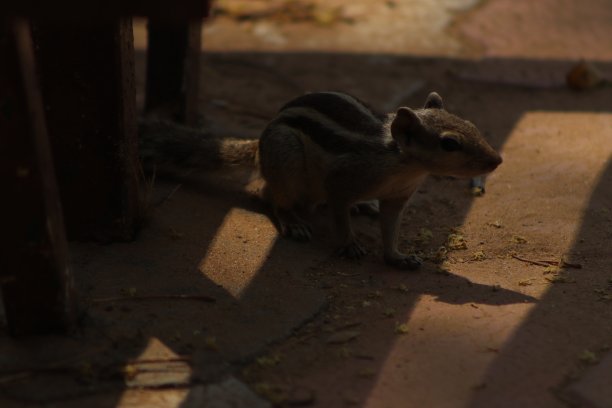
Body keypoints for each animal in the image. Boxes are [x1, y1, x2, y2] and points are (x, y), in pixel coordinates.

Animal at [139, 92, 502, 270]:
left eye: (471, 124)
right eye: (449, 143)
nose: (496, 160)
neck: (401, 167)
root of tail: (259, 145)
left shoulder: (398, 198)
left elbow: (389, 228)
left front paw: (397, 257)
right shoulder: (341, 181)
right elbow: (339, 213)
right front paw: (349, 244)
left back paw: (363, 206)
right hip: (286, 159)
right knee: (269, 194)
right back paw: (293, 220)